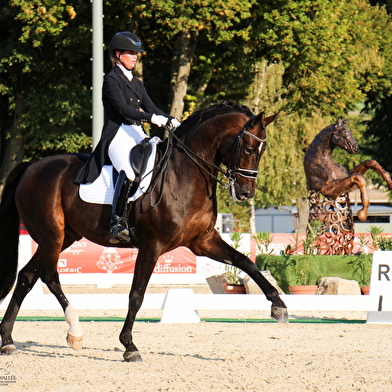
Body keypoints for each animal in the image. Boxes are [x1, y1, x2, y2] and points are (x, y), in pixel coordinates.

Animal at [0, 100, 288, 362]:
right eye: (248, 148)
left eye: (262, 150)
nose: (245, 193)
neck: (184, 174)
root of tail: (31, 166)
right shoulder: (152, 246)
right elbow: (136, 295)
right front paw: (129, 346)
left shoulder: (203, 241)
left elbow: (245, 262)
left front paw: (279, 306)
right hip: (53, 235)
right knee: (49, 276)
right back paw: (75, 332)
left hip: (65, 237)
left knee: (26, 277)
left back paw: (8, 340)